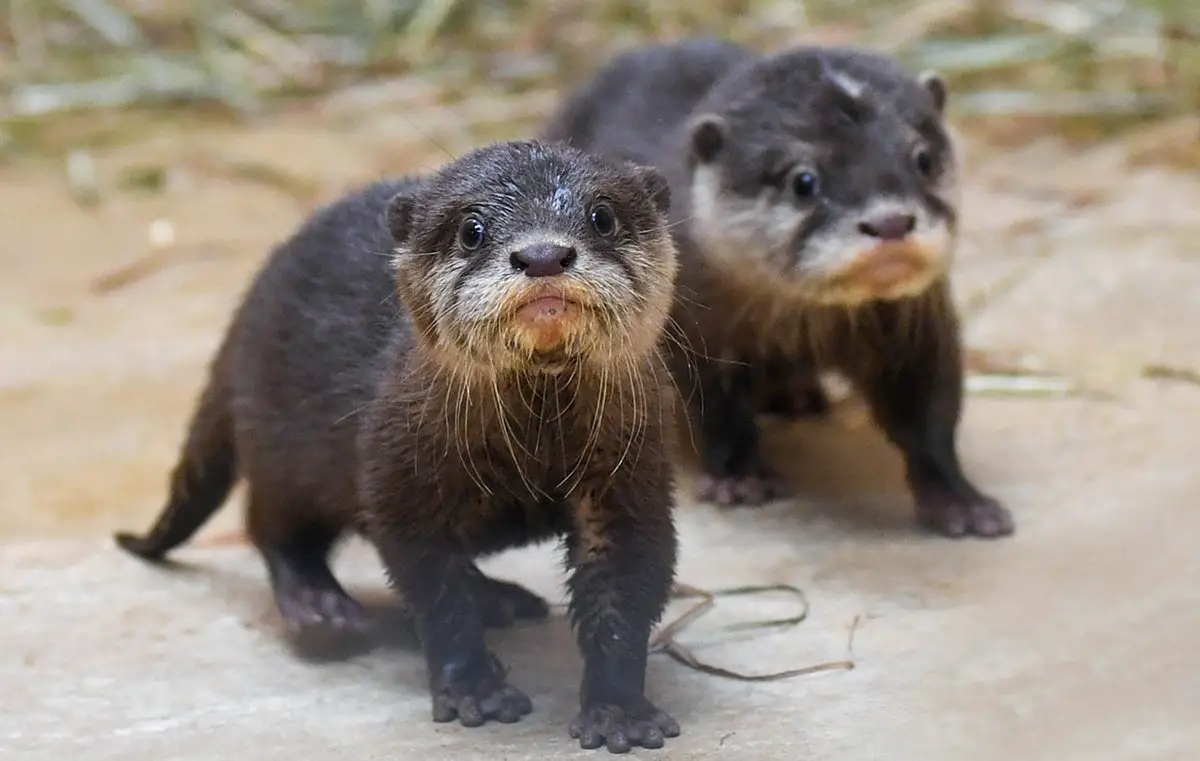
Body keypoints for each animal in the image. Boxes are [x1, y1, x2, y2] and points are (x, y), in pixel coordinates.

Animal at [119, 139, 696, 748]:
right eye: (472, 229)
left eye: (602, 216)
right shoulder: (400, 469)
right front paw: (474, 689)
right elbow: (432, 588)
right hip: (284, 443)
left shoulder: (630, 473)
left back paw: (499, 598)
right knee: (271, 523)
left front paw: (619, 709)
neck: (531, 444)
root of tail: (244, 316)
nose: (542, 255)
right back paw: (320, 606)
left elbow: (627, 583)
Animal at [544, 38, 1012, 535]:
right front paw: (739, 479)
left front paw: (961, 503)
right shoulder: (698, 333)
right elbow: (717, 411)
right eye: (803, 181)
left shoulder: (916, 327)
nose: (890, 222)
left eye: (922, 159)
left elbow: (930, 412)